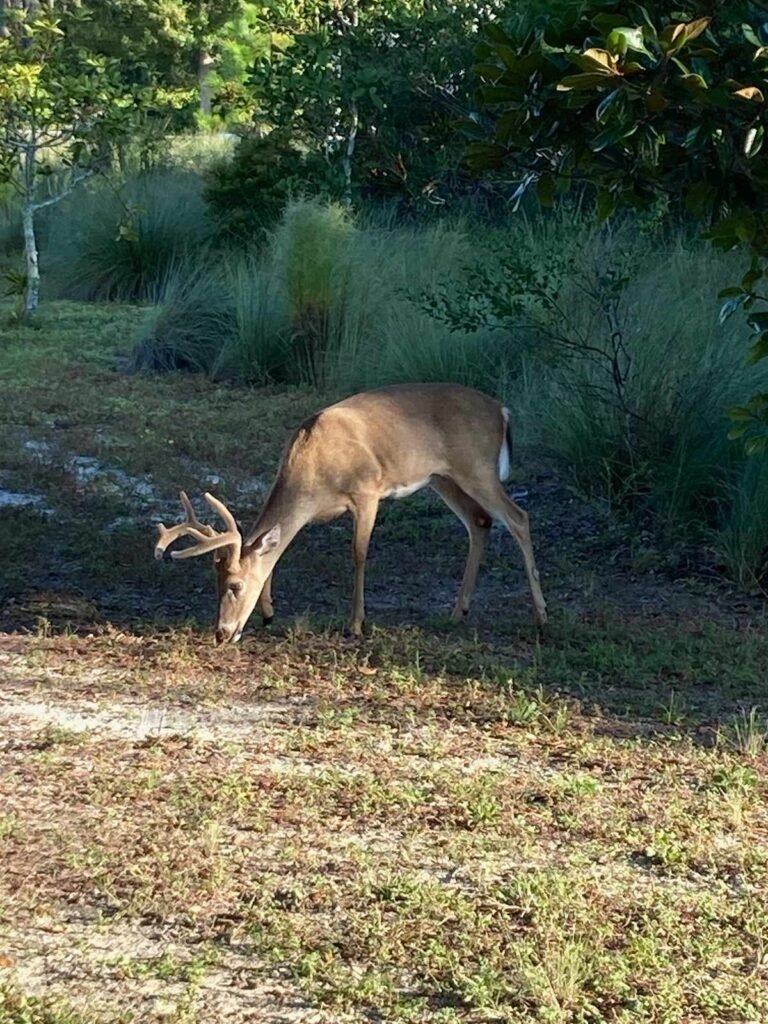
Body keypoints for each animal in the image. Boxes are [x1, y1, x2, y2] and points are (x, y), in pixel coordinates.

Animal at [153, 385, 548, 638]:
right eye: (216, 583)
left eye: (235, 585)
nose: (222, 632)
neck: (313, 467)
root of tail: (502, 411)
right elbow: (276, 555)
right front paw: (268, 613)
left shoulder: (367, 491)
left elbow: (358, 555)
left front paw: (356, 624)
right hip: (443, 477)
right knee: (480, 522)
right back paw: (457, 612)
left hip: (477, 468)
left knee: (518, 517)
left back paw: (541, 614)